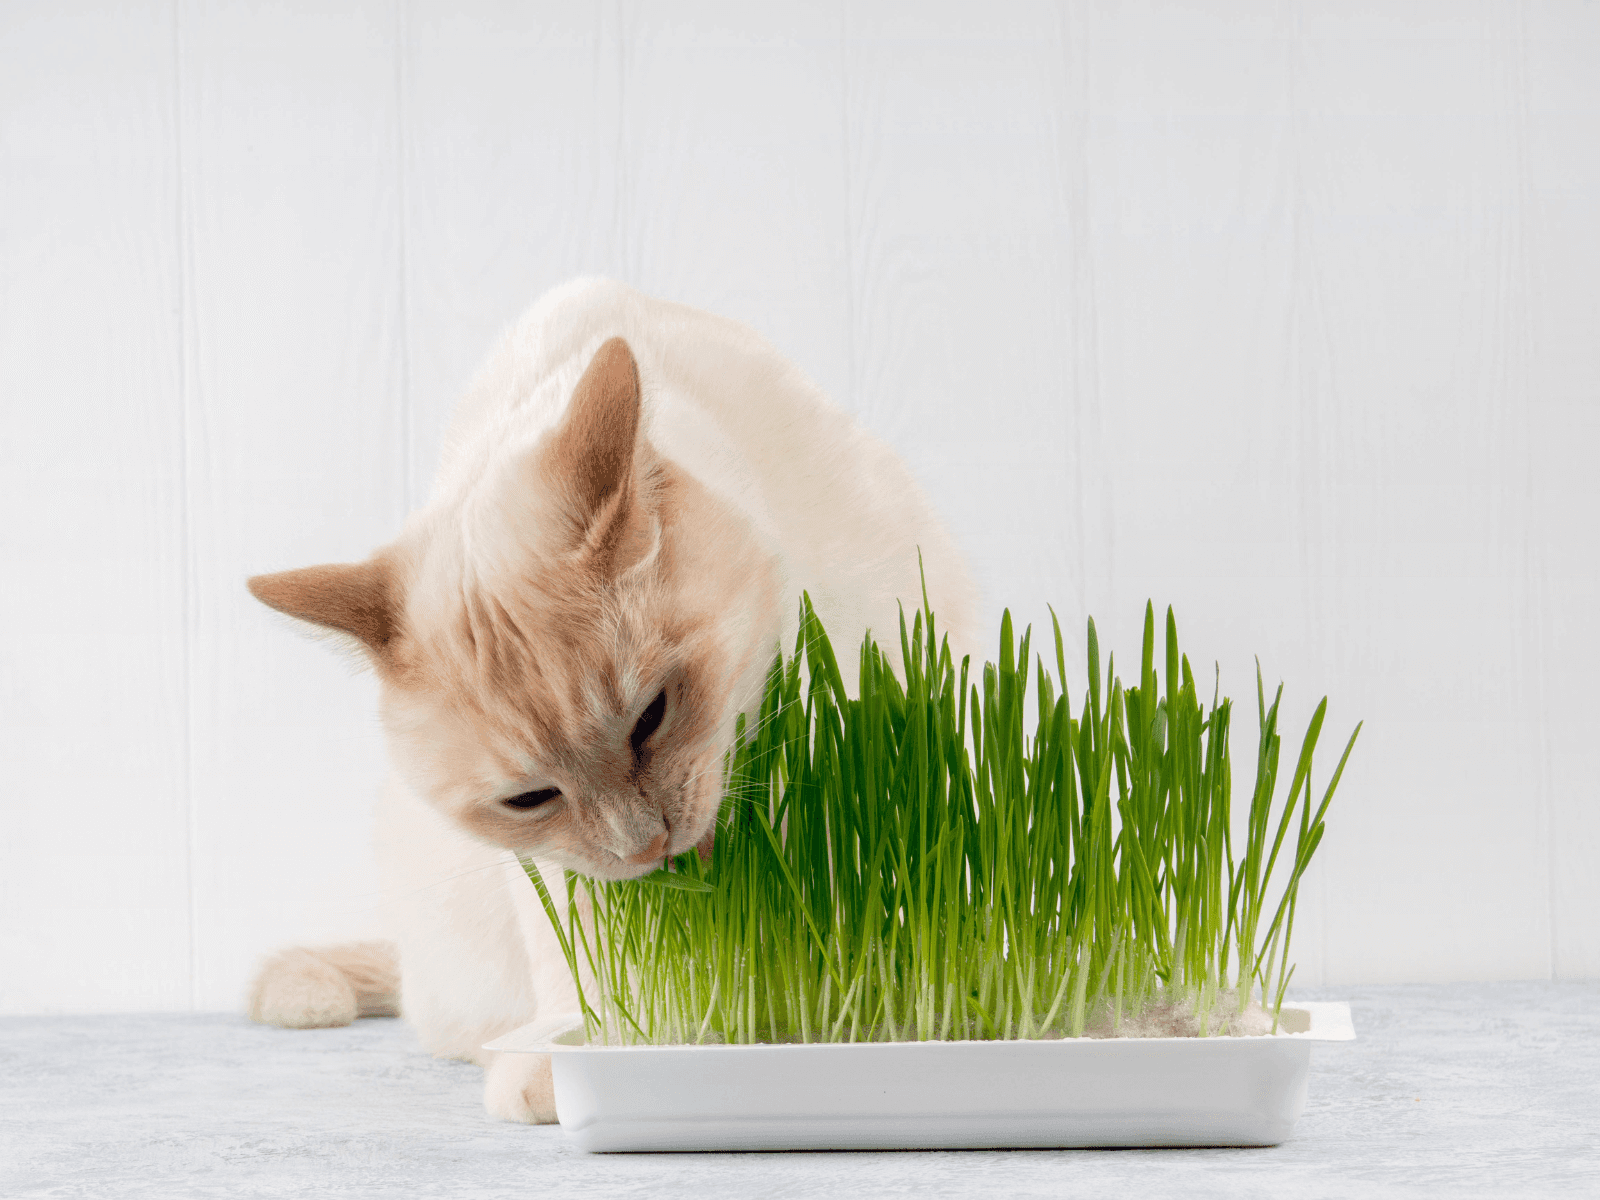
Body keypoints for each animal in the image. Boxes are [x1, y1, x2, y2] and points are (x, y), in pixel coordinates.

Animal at [243, 276, 979, 1126]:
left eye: (652, 715)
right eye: (530, 799)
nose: (646, 846)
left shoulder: (876, 699)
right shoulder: (555, 865)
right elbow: (588, 962)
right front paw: (590, 1058)